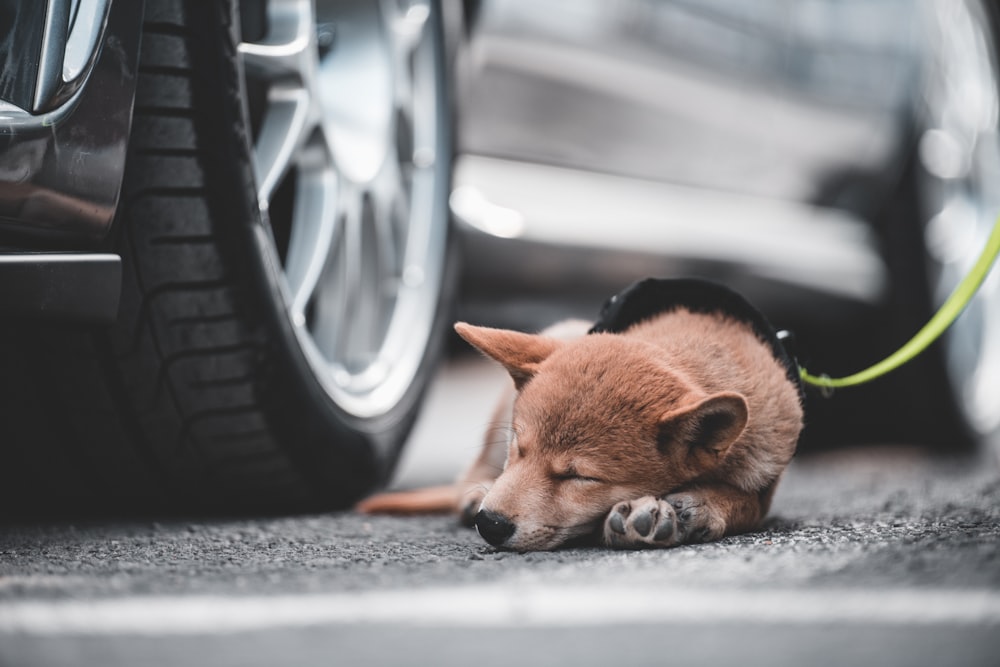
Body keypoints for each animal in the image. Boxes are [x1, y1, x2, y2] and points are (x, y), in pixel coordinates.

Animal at [360, 278, 804, 552]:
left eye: (580, 478)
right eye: (517, 447)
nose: (491, 524)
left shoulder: (766, 474)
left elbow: (745, 503)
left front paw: (697, 507)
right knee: (464, 478)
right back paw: (474, 493)